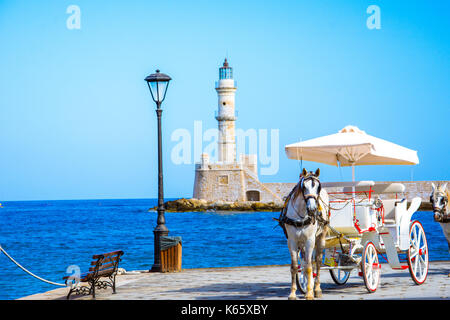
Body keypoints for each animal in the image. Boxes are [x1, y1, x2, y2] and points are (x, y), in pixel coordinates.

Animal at [282, 168, 330, 300]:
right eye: (304, 186)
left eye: (318, 187)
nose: (313, 209)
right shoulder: (292, 241)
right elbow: (294, 266)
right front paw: (293, 293)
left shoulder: (310, 240)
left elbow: (309, 267)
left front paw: (309, 293)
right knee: (305, 261)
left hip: (320, 238)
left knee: (317, 262)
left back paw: (317, 288)